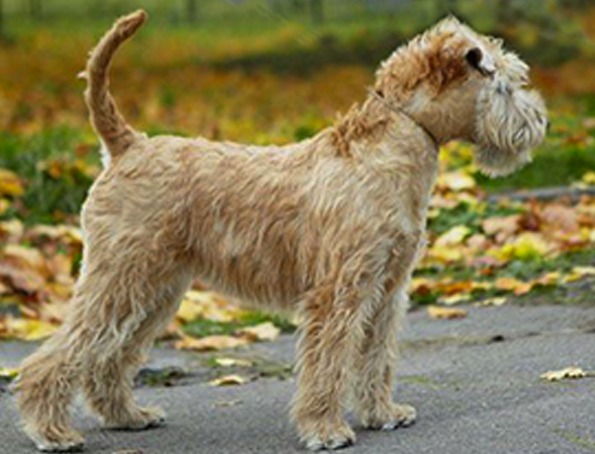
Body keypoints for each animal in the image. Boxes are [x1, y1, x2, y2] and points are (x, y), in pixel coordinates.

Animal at [17, 9, 548, 450]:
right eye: (504, 83)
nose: (540, 120)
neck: (392, 147)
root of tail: (128, 145)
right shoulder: (339, 293)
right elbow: (328, 364)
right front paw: (326, 430)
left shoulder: (386, 290)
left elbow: (376, 359)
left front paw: (383, 413)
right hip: (120, 278)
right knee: (59, 355)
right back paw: (52, 431)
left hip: (154, 289)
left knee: (108, 358)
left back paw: (128, 416)